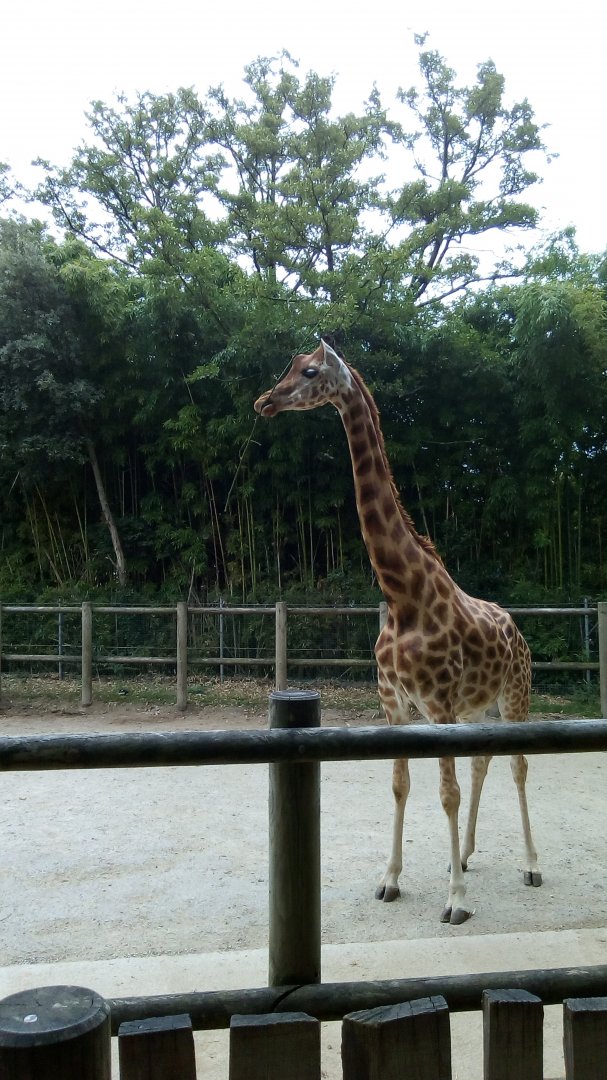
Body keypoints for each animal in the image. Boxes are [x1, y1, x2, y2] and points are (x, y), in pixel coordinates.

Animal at [255, 338, 542, 925]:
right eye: (291, 368)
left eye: (309, 372)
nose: (264, 401)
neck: (402, 595)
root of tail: (519, 632)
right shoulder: (395, 701)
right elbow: (400, 784)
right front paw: (391, 879)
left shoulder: (438, 702)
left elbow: (446, 792)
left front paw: (456, 901)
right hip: (479, 707)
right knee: (483, 762)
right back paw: (468, 854)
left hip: (514, 694)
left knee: (518, 765)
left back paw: (529, 865)